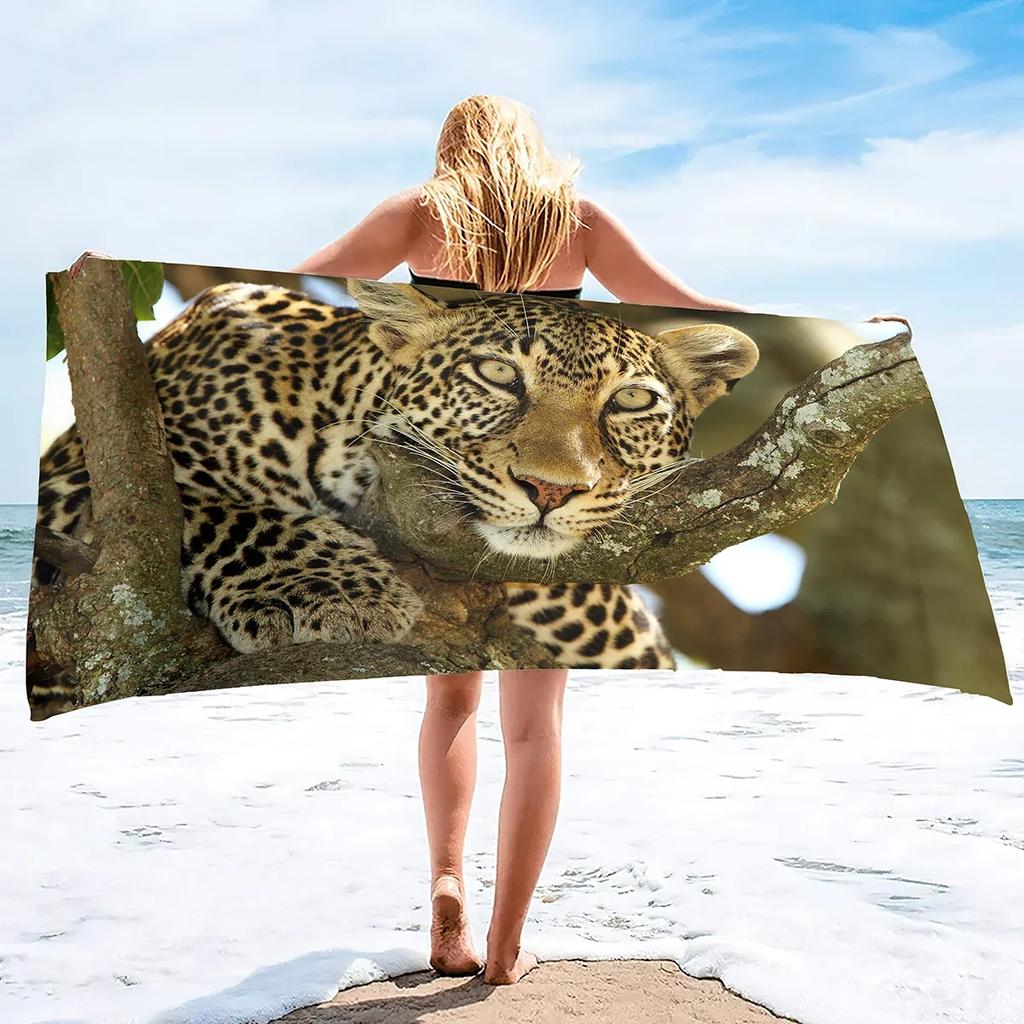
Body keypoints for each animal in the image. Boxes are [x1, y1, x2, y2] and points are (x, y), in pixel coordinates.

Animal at [30, 278, 758, 715]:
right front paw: (331, 592)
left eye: (631, 401)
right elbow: (219, 510)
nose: (551, 488)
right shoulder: (70, 485)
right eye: (496, 374)